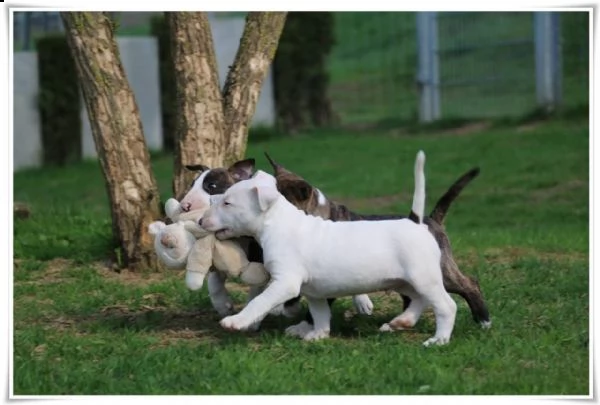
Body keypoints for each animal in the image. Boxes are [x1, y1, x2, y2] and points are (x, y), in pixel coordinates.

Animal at [199, 150, 458, 346]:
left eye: (227, 203)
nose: (201, 221)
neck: (278, 224)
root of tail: (416, 222)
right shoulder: (313, 290)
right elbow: (320, 314)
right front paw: (318, 335)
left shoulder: (286, 282)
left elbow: (259, 301)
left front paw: (237, 321)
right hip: (404, 281)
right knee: (419, 300)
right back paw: (401, 322)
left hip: (423, 277)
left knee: (446, 305)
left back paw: (439, 340)